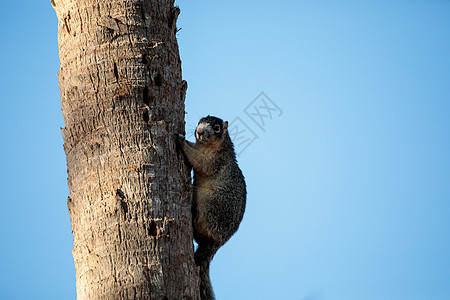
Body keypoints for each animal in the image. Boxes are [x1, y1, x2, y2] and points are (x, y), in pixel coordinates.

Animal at [176, 115, 246, 300]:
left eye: (216, 128)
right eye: (200, 122)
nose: (200, 132)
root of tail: (217, 242)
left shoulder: (215, 160)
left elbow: (199, 161)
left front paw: (182, 141)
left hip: (210, 205)